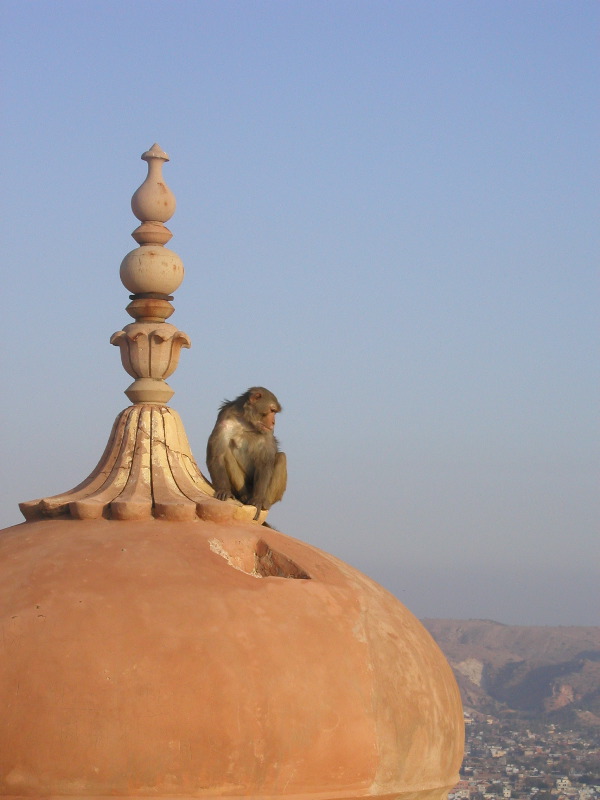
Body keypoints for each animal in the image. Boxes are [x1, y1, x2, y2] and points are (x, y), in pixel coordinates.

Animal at [206, 387, 287, 521]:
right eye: (272, 410)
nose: (273, 422)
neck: (247, 421)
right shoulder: (226, 415)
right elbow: (217, 456)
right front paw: (223, 489)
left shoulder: (267, 430)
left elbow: (265, 462)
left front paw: (258, 500)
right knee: (227, 454)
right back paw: (244, 496)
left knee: (281, 457)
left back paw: (264, 502)